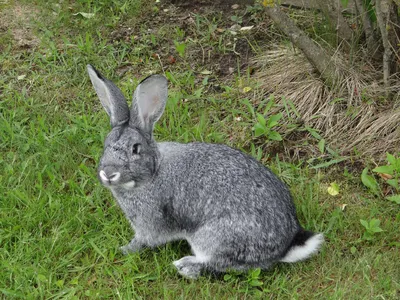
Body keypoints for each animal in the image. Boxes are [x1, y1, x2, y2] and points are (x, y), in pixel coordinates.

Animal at [86, 63, 324, 278]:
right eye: (106, 145)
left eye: (135, 149)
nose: (108, 173)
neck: (153, 173)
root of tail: (285, 246)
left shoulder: (150, 223)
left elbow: (144, 240)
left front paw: (124, 250)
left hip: (213, 237)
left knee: (225, 265)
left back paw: (186, 267)